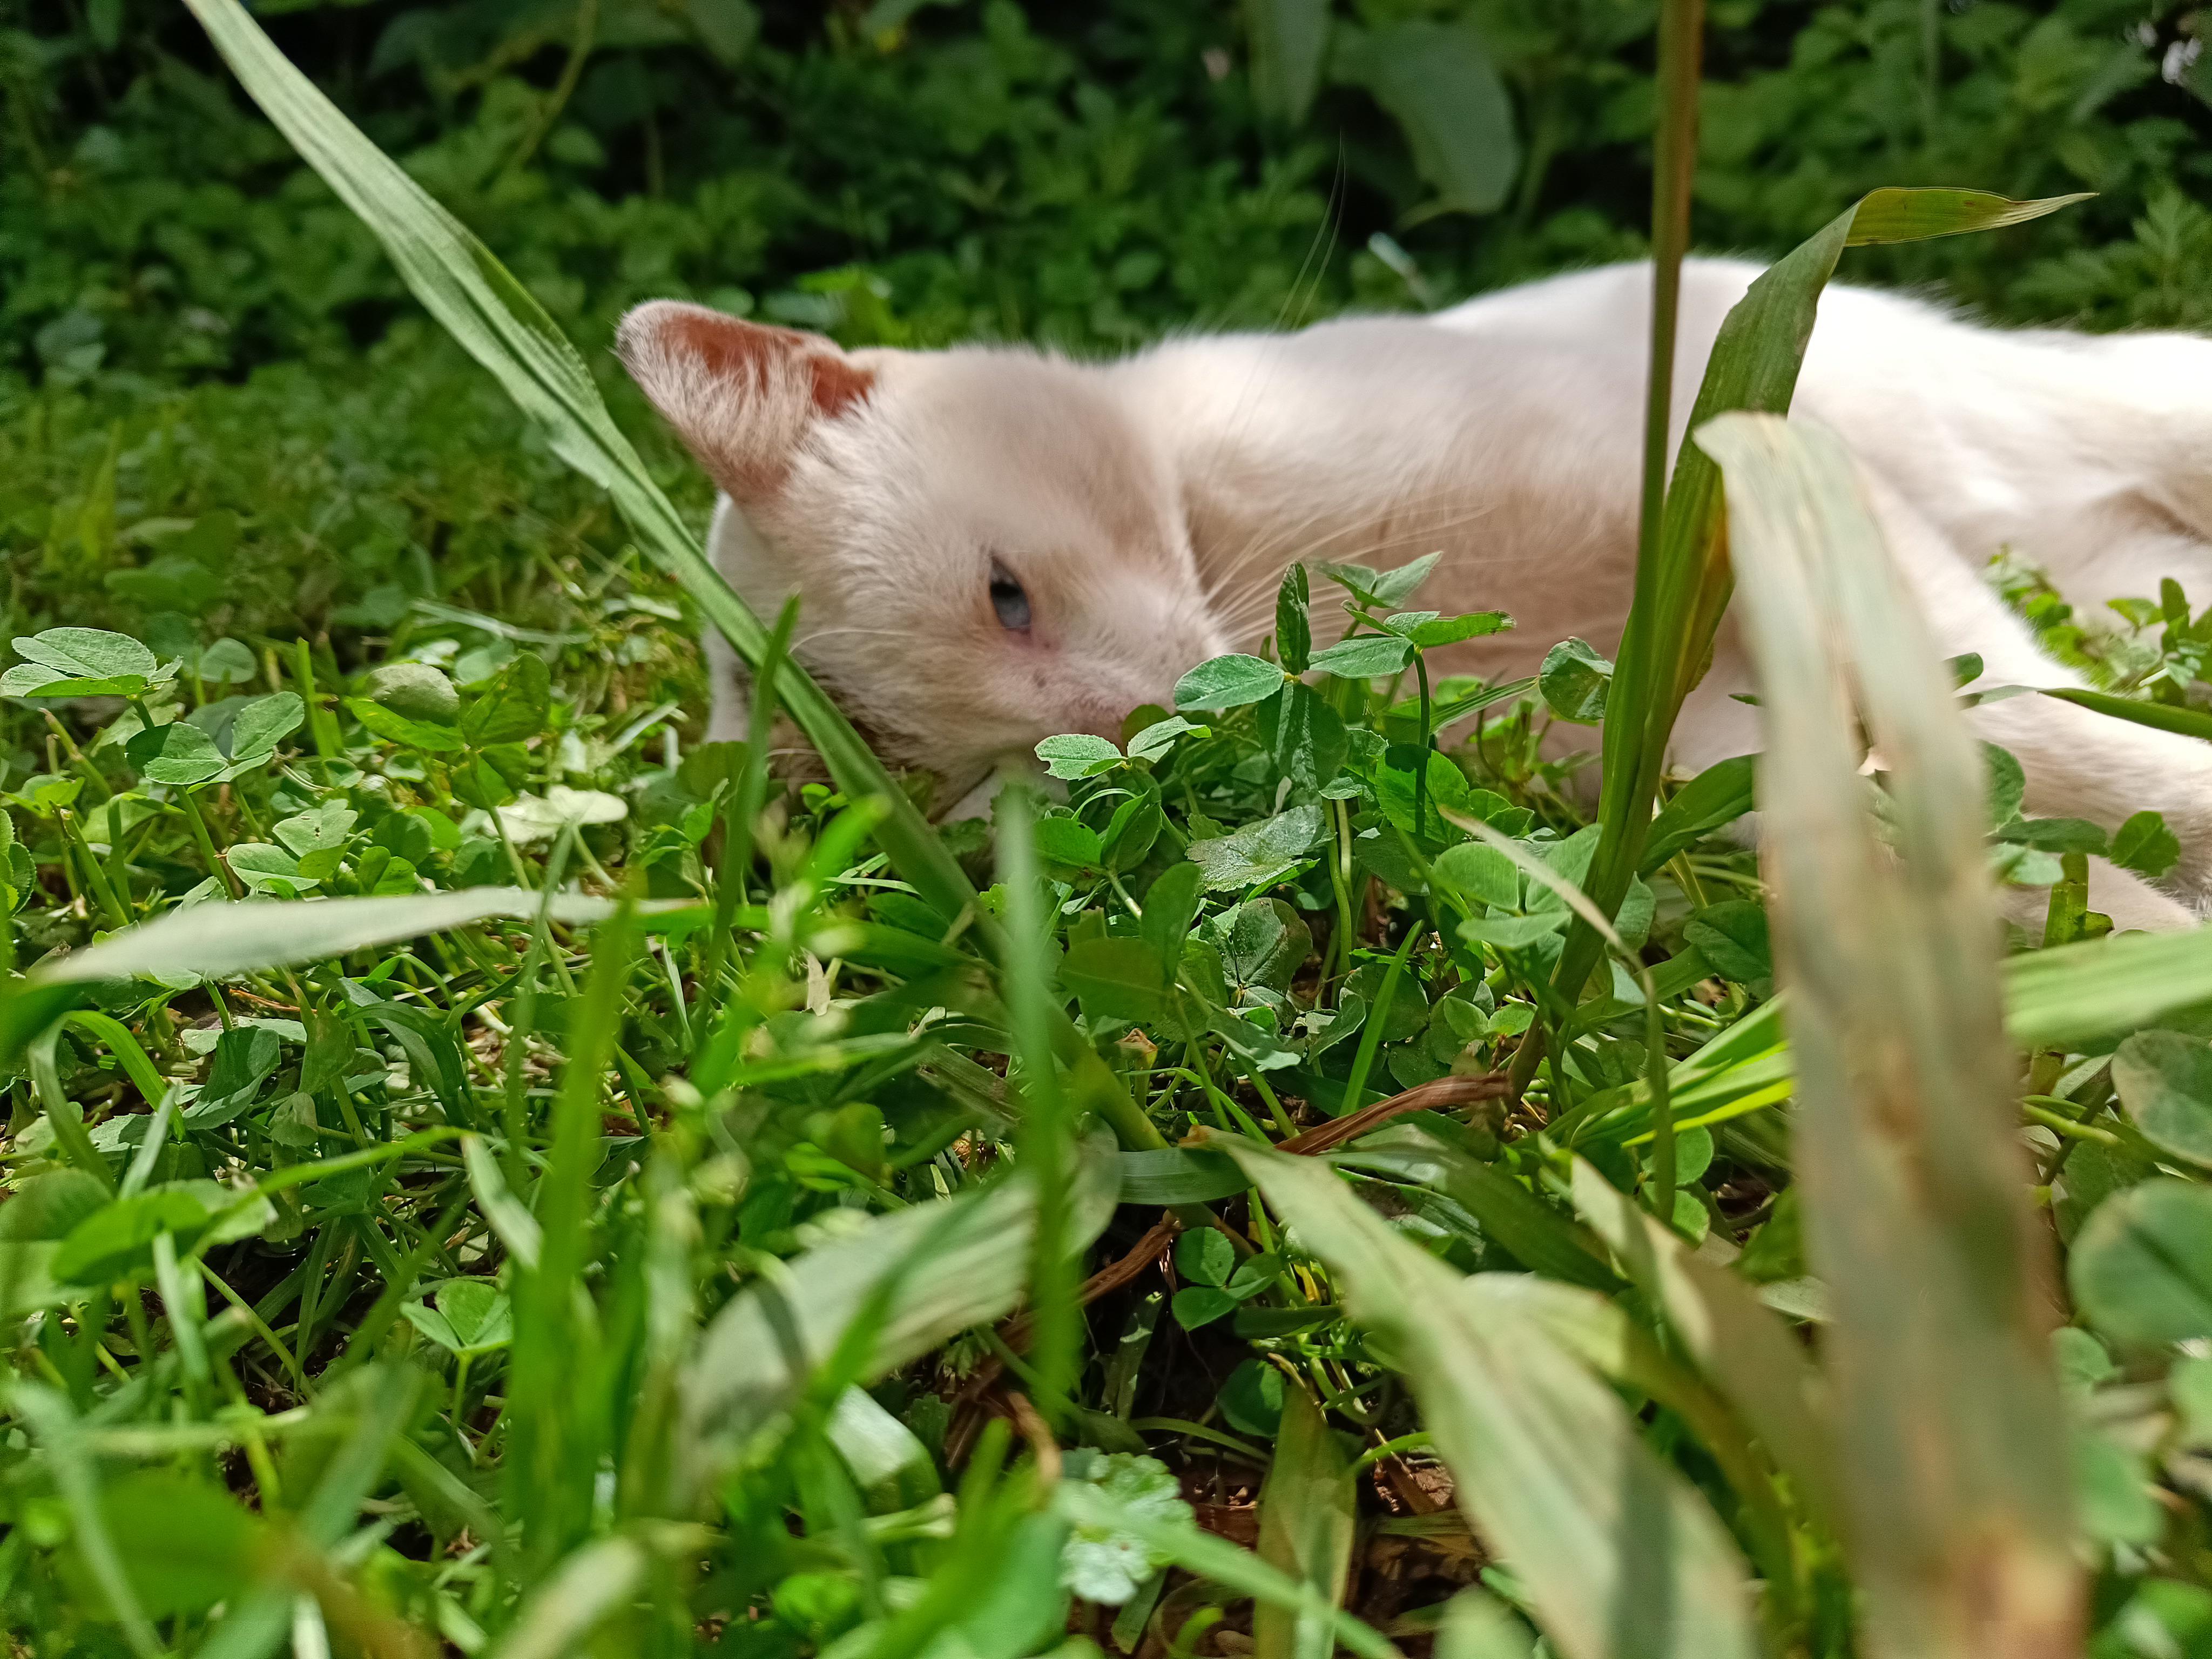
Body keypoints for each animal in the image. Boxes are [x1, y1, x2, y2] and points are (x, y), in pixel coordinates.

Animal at [617, 260, 2212, 927]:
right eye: (992, 785)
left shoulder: (1772, 479)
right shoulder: (1696, 755)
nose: (1148, 722)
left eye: (1007, 594)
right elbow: (1979, 850)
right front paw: (2148, 963)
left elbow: (2048, 734)